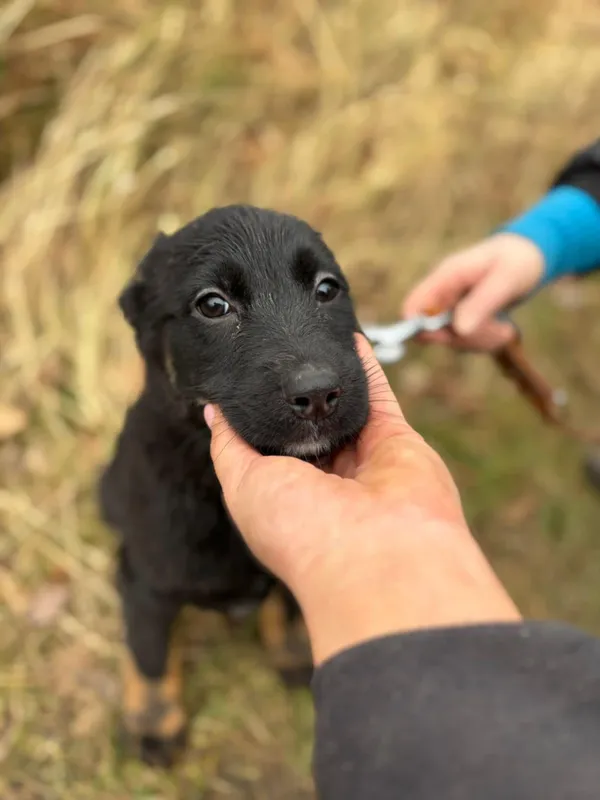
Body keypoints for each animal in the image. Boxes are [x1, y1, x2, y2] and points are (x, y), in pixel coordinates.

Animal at [98, 203, 368, 764]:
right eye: (213, 305)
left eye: (327, 289)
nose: (318, 394)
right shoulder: (146, 576)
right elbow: (149, 650)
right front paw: (154, 725)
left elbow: (288, 604)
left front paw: (294, 652)